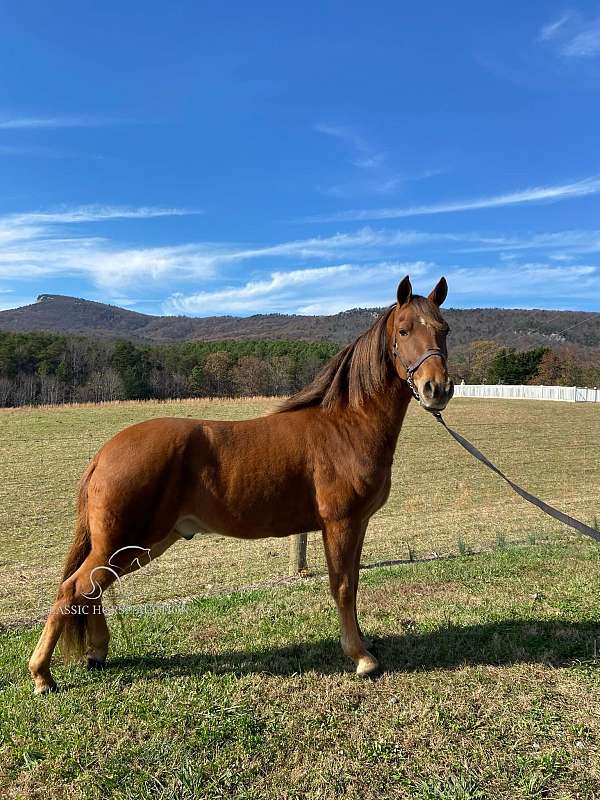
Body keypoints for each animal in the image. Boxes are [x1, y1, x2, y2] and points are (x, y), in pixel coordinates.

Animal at [27, 276, 450, 692]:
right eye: (404, 330)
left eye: (443, 329)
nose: (437, 388)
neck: (345, 426)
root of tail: (105, 452)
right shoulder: (340, 523)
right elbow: (343, 586)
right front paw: (361, 658)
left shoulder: (357, 524)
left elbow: (352, 583)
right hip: (123, 543)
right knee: (72, 589)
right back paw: (42, 675)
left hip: (137, 545)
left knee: (93, 589)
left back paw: (96, 654)